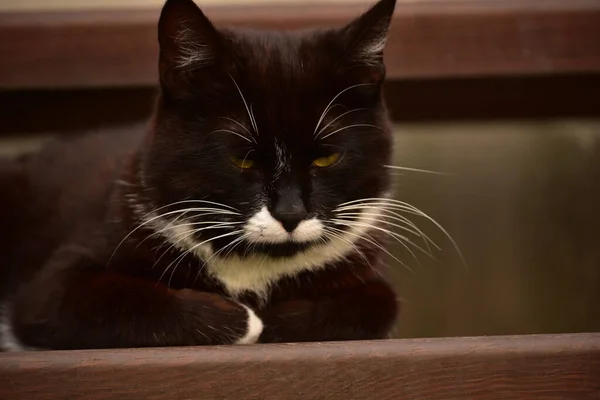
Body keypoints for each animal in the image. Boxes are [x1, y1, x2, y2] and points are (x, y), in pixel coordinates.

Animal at [1, 0, 404, 350]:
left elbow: (380, 301)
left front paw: (274, 321)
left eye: (326, 158)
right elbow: (99, 300)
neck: (251, 264)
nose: (290, 214)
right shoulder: (57, 283)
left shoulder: (365, 273)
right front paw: (247, 321)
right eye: (242, 160)